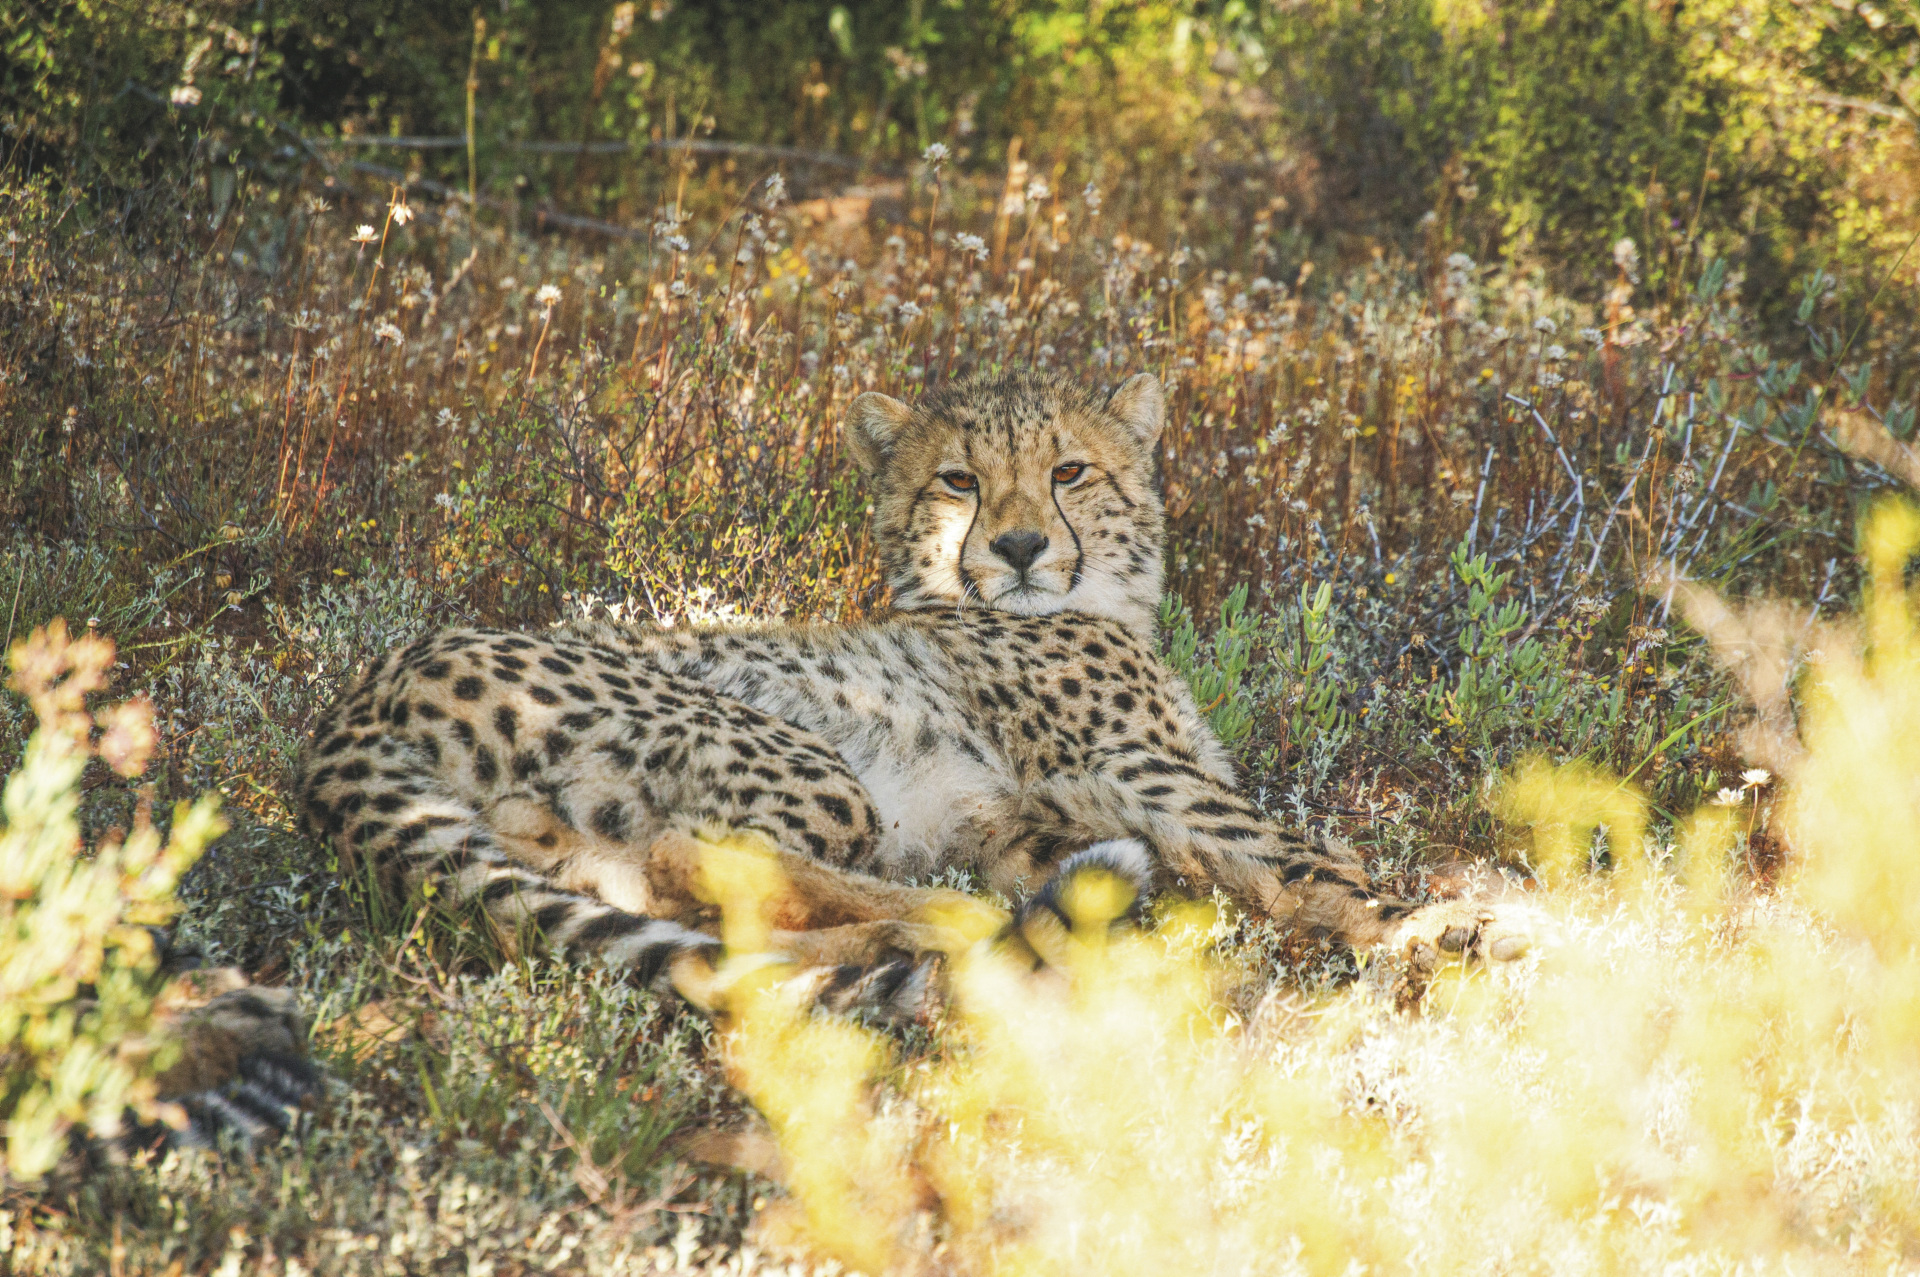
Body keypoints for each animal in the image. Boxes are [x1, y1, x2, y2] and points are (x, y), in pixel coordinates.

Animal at [288, 368, 1539, 1022]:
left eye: (1070, 470)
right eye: (958, 481)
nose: (1024, 545)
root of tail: (361, 691)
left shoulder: (1034, 817)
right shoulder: (1131, 769)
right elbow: (1306, 851)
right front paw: (1447, 922)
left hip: (567, 829)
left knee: (674, 902)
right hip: (793, 752)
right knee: (705, 852)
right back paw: (955, 926)